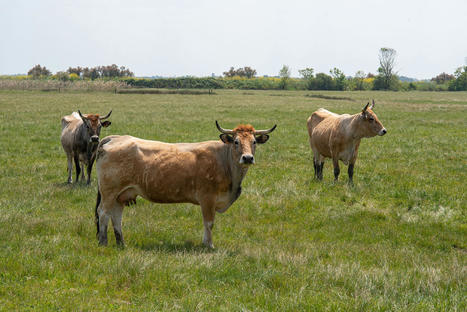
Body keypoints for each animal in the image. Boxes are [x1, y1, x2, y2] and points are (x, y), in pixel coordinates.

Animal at [95, 120, 278, 247]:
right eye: (236, 142)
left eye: (254, 142)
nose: (247, 158)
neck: (224, 161)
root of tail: (115, 138)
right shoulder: (207, 198)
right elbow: (209, 223)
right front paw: (208, 245)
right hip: (109, 192)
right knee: (103, 213)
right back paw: (103, 242)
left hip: (121, 194)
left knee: (116, 216)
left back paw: (121, 243)